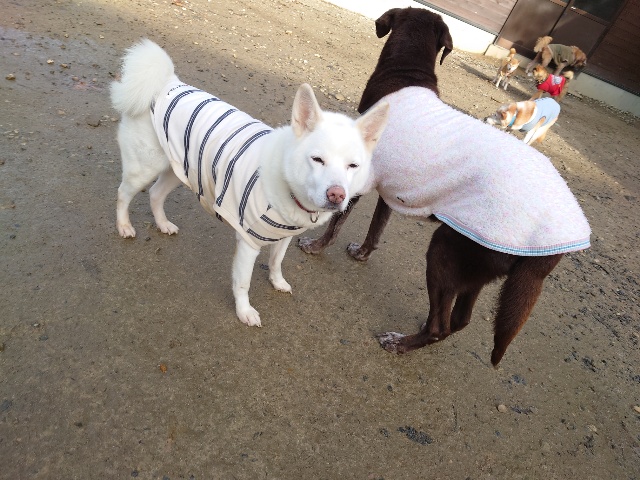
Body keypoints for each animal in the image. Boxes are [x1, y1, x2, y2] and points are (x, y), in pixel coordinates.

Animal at [111, 39, 389, 327]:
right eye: (317, 159)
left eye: (353, 166)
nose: (337, 195)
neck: (286, 182)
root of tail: (165, 82)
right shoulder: (248, 243)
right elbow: (243, 283)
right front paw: (244, 311)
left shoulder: (285, 236)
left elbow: (277, 262)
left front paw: (277, 282)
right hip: (145, 168)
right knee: (123, 194)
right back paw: (124, 226)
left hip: (178, 168)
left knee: (155, 194)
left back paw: (163, 224)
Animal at [298, 8, 590, 366]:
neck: (407, 74)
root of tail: (558, 245)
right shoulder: (393, 188)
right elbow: (376, 228)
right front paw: (362, 253)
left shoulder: (360, 178)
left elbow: (336, 224)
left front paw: (315, 246)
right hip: (475, 263)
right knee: (458, 320)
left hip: (445, 249)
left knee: (441, 324)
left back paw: (401, 342)